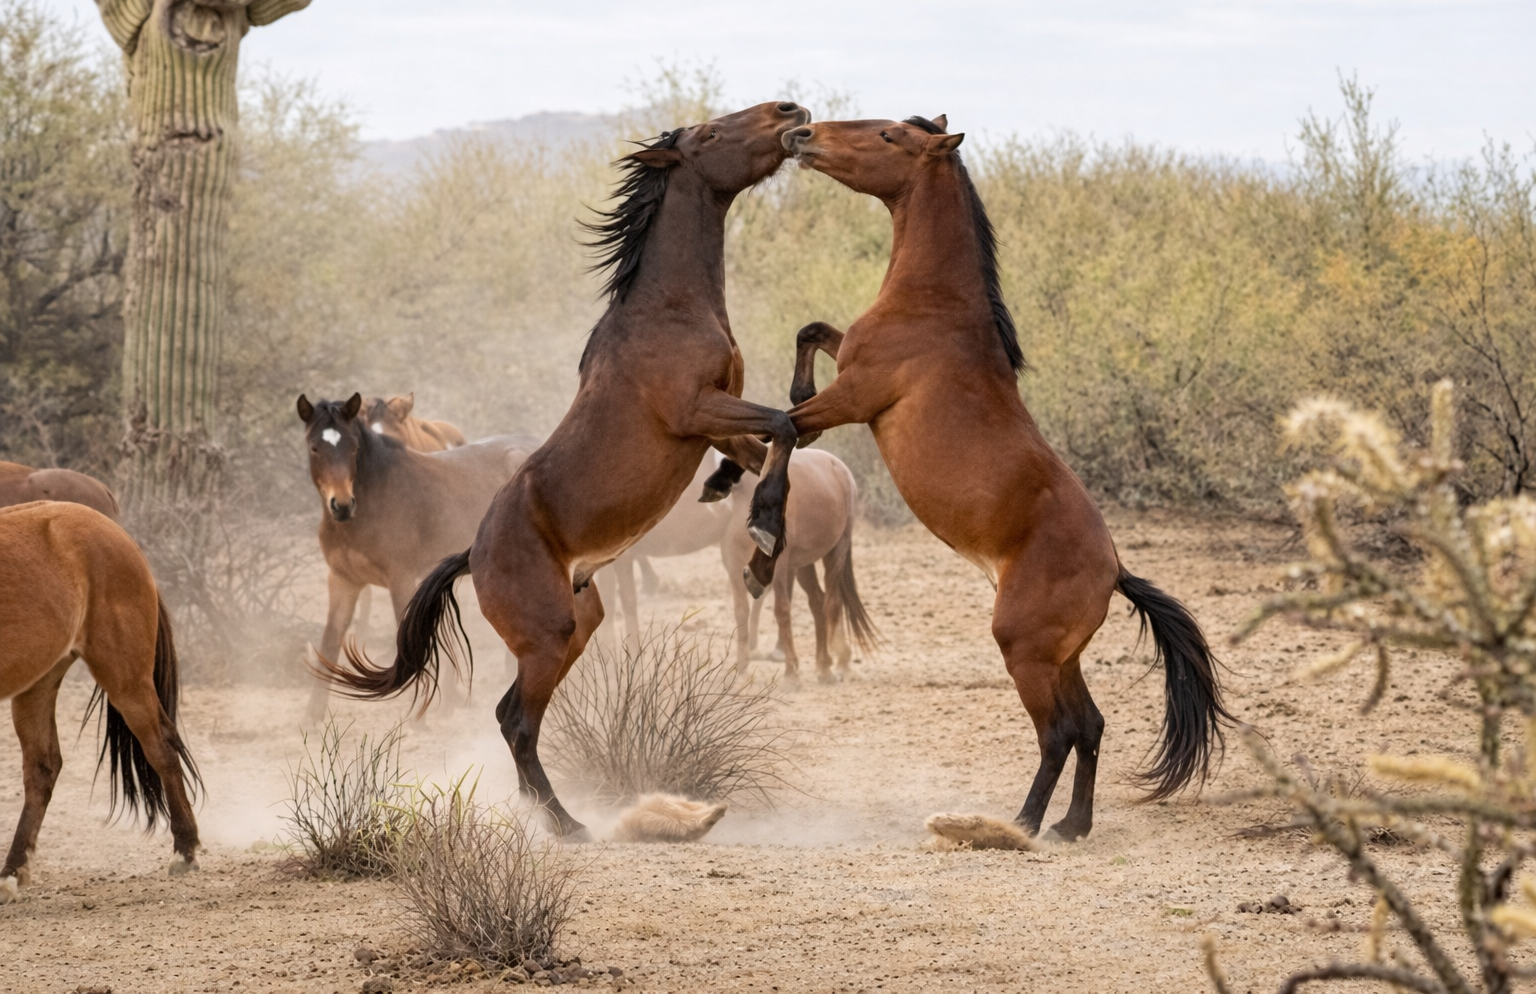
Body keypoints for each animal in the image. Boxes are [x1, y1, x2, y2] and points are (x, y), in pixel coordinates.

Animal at [0, 501, 201, 902]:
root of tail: (121, 537)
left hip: (125, 679)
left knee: (162, 747)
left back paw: (184, 851)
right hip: (38, 683)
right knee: (42, 769)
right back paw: (12, 873)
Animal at [297, 393, 538, 720]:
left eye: (354, 447)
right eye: (315, 448)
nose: (343, 505)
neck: (372, 501)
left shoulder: (401, 579)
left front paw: (417, 719)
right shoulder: (343, 581)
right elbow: (331, 641)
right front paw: (312, 717)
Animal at [321, 100, 813, 839]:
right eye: (711, 134)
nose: (790, 110)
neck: (667, 309)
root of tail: (473, 554)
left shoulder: (716, 422)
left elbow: (769, 453)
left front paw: (747, 526)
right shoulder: (697, 411)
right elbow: (784, 425)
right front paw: (756, 535)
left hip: (579, 623)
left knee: (510, 716)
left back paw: (556, 816)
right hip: (548, 636)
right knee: (517, 723)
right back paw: (567, 824)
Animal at [723, 447, 877, 685]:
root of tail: (839, 467)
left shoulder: (779, 570)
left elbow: (781, 610)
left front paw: (791, 673)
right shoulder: (735, 567)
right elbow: (741, 611)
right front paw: (741, 668)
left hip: (836, 552)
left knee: (832, 602)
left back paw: (839, 664)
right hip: (804, 565)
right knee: (818, 602)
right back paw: (824, 667)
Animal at [773, 114, 1229, 840]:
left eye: (888, 135)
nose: (804, 134)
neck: (935, 305)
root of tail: (1115, 570)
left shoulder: (857, 395)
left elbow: (783, 425)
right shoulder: (846, 363)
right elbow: (810, 333)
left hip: (1023, 651)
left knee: (1060, 733)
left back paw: (1022, 824)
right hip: (1061, 657)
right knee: (1092, 725)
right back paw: (1072, 826)